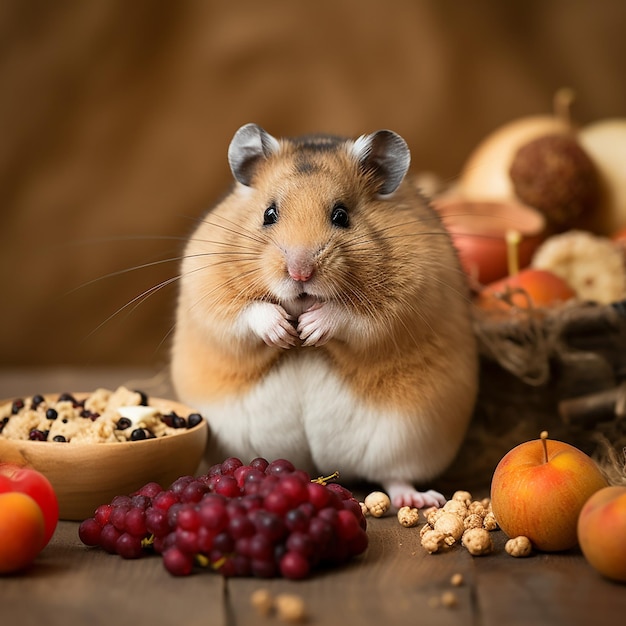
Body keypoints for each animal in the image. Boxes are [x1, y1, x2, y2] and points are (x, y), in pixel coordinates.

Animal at [168, 123, 476, 508]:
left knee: (394, 476)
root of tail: (322, 467)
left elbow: (353, 318)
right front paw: (285, 332)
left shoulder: (408, 298)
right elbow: (246, 314)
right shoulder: (208, 290)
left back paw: (420, 500)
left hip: (408, 440)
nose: (300, 273)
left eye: (341, 215)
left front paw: (310, 329)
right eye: (269, 214)